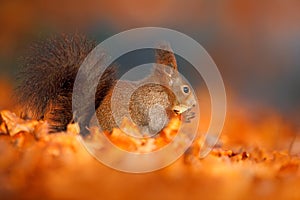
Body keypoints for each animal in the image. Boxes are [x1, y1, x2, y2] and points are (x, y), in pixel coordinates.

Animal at [16, 33, 196, 136]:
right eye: (185, 89)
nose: (194, 104)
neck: (162, 90)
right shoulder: (150, 101)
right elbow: (158, 122)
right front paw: (184, 117)